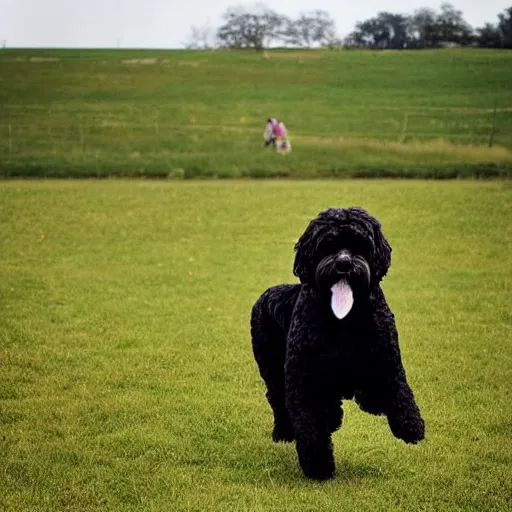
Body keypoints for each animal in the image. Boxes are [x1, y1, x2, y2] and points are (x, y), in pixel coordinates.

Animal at [251, 207, 424, 480]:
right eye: (327, 245)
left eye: (359, 244)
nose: (344, 264)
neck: (344, 320)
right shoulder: (305, 380)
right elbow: (311, 427)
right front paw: (318, 466)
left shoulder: (386, 362)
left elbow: (398, 391)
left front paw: (410, 427)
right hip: (272, 368)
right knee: (278, 399)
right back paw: (284, 432)